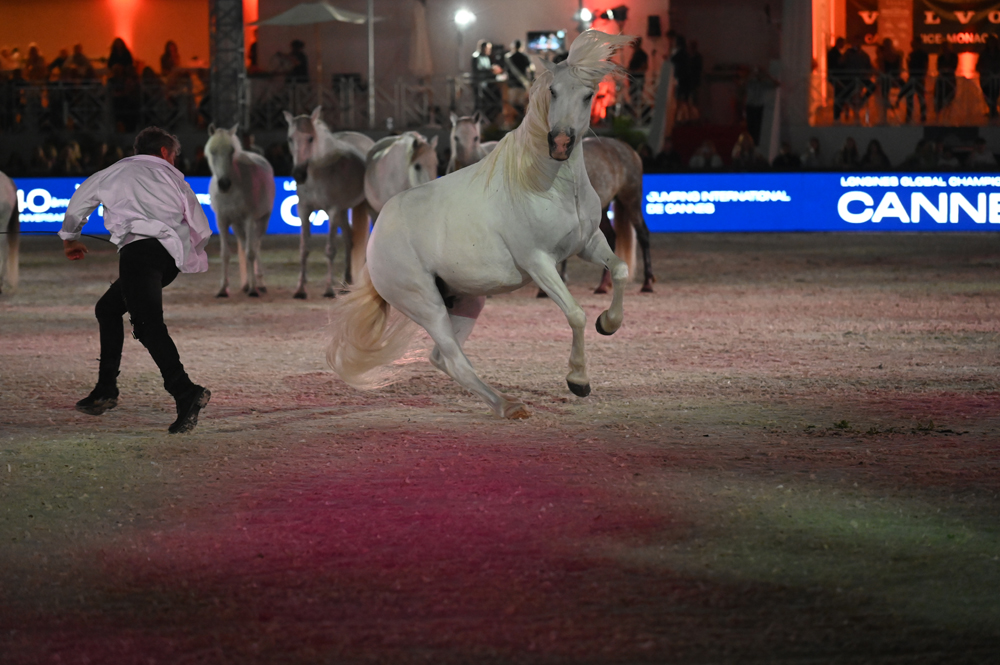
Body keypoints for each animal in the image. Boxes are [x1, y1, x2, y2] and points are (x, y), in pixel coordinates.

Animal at [205, 124, 275, 297]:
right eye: (212, 151)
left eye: (231, 150)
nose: (224, 184)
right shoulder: (222, 221)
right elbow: (225, 254)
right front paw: (223, 289)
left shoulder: (249, 219)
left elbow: (251, 252)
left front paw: (253, 289)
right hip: (237, 225)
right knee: (245, 245)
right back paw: (246, 284)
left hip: (262, 220)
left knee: (255, 246)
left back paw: (259, 284)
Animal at [285, 106, 374, 298]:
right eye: (290, 139)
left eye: (310, 138)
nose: (299, 174)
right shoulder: (303, 210)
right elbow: (304, 249)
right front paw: (300, 289)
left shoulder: (332, 211)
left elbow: (330, 249)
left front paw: (328, 289)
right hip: (343, 211)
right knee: (349, 239)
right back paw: (346, 281)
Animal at [326, 30, 634, 419]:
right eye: (553, 91)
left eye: (588, 94)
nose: (560, 143)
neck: (547, 185)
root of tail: (377, 235)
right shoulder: (539, 263)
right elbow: (576, 314)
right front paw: (577, 380)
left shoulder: (588, 243)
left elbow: (620, 270)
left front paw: (608, 323)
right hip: (425, 305)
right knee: (454, 359)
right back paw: (508, 405)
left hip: (466, 302)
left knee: (442, 358)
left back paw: (503, 402)